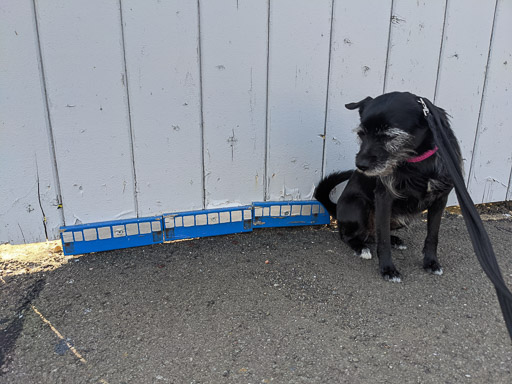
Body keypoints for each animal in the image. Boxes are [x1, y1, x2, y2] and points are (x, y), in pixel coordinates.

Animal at [316, 91, 464, 280]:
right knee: (350, 236)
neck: (417, 162)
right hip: (358, 205)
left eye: (389, 136)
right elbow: (383, 240)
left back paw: (395, 240)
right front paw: (387, 268)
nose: (360, 165)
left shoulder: (440, 200)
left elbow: (432, 235)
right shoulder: (384, 198)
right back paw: (361, 248)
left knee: (374, 234)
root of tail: (336, 210)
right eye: (362, 134)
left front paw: (431, 262)